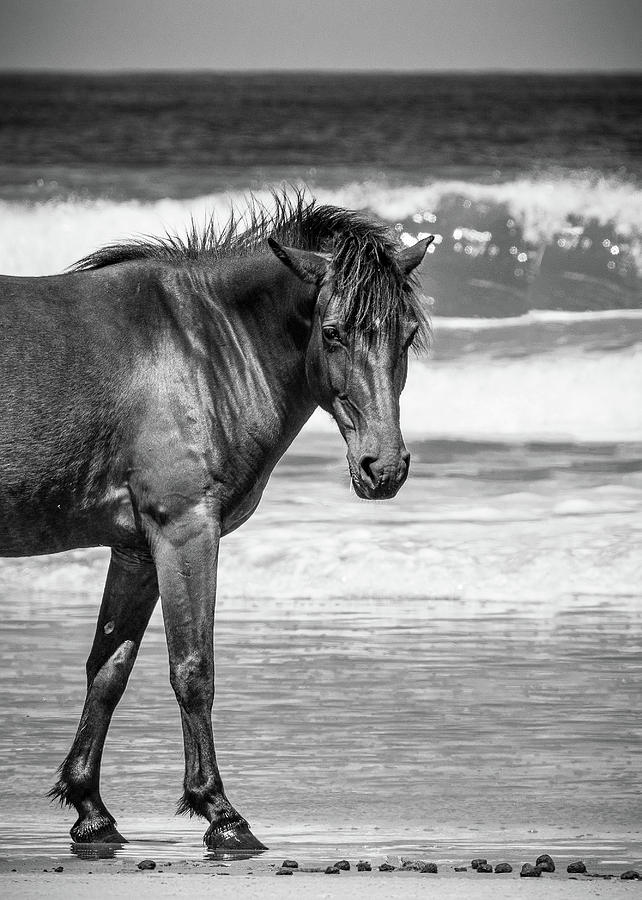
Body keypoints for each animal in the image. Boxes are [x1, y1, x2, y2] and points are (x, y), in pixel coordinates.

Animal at [1, 190, 430, 852]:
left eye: (406, 336)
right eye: (333, 332)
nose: (383, 468)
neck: (202, 347)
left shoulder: (136, 549)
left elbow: (109, 670)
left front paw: (90, 808)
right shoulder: (184, 531)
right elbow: (193, 669)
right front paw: (221, 812)